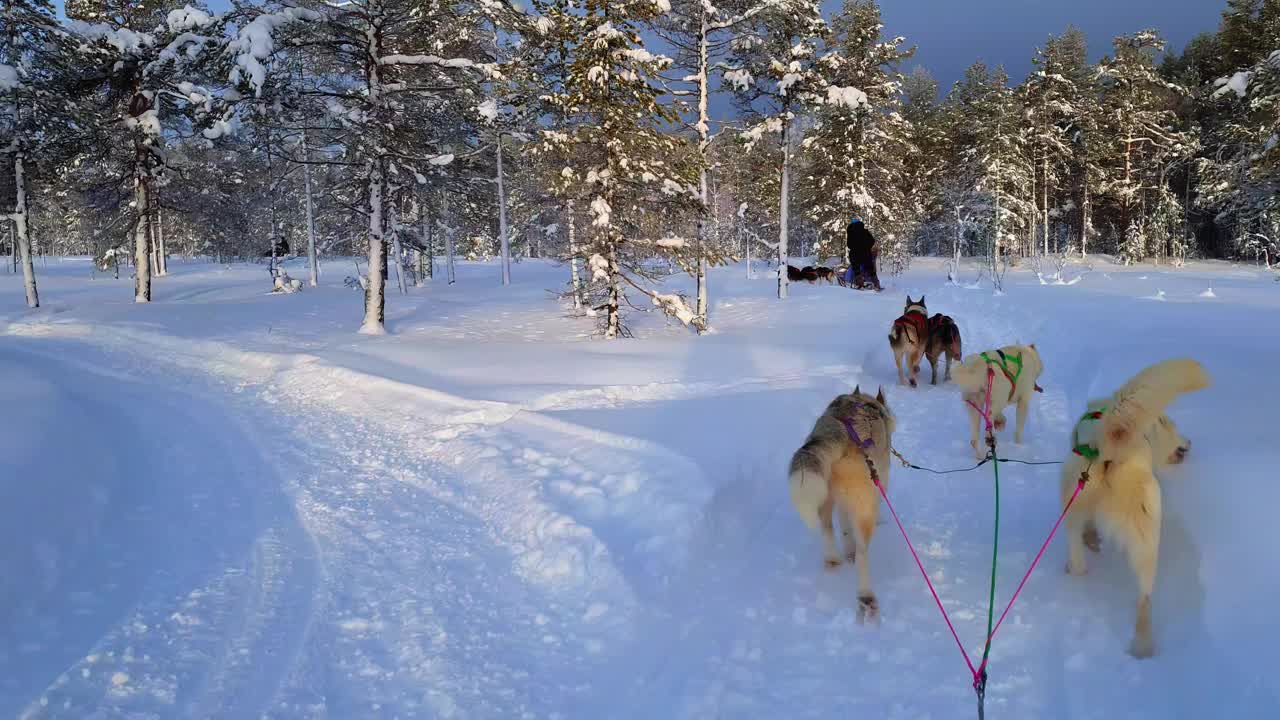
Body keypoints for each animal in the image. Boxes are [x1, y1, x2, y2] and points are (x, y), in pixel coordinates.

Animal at [783, 384, 896, 620]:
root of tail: (841, 428)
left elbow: (843, 527)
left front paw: (847, 546)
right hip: (863, 508)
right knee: (862, 553)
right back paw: (866, 596)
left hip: (823, 494)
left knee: (827, 528)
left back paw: (833, 560)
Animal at [1059, 356, 1208, 655]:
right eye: (1176, 429)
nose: (1190, 442)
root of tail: (1108, 450)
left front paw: (1093, 541)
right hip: (1145, 534)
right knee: (1145, 598)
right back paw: (1144, 646)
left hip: (1076, 509)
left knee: (1080, 554)